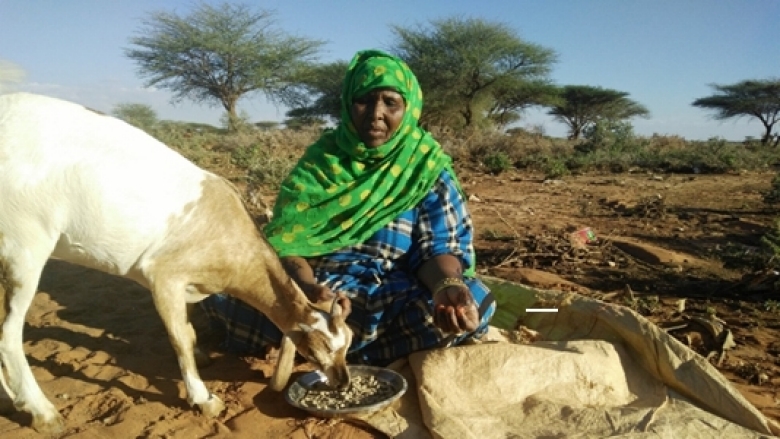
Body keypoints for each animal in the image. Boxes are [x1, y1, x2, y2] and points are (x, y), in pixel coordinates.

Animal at [0, 92, 350, 434]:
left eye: (347, 344)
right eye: (321, 348)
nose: (343, 382)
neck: (226, 228)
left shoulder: (188, 288)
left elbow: (189, 331)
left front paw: (202, 357)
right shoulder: (163, 278)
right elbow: (179, 339)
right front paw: (204, 399)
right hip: (23, 249)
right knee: (8, 335)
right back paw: (42, 412)